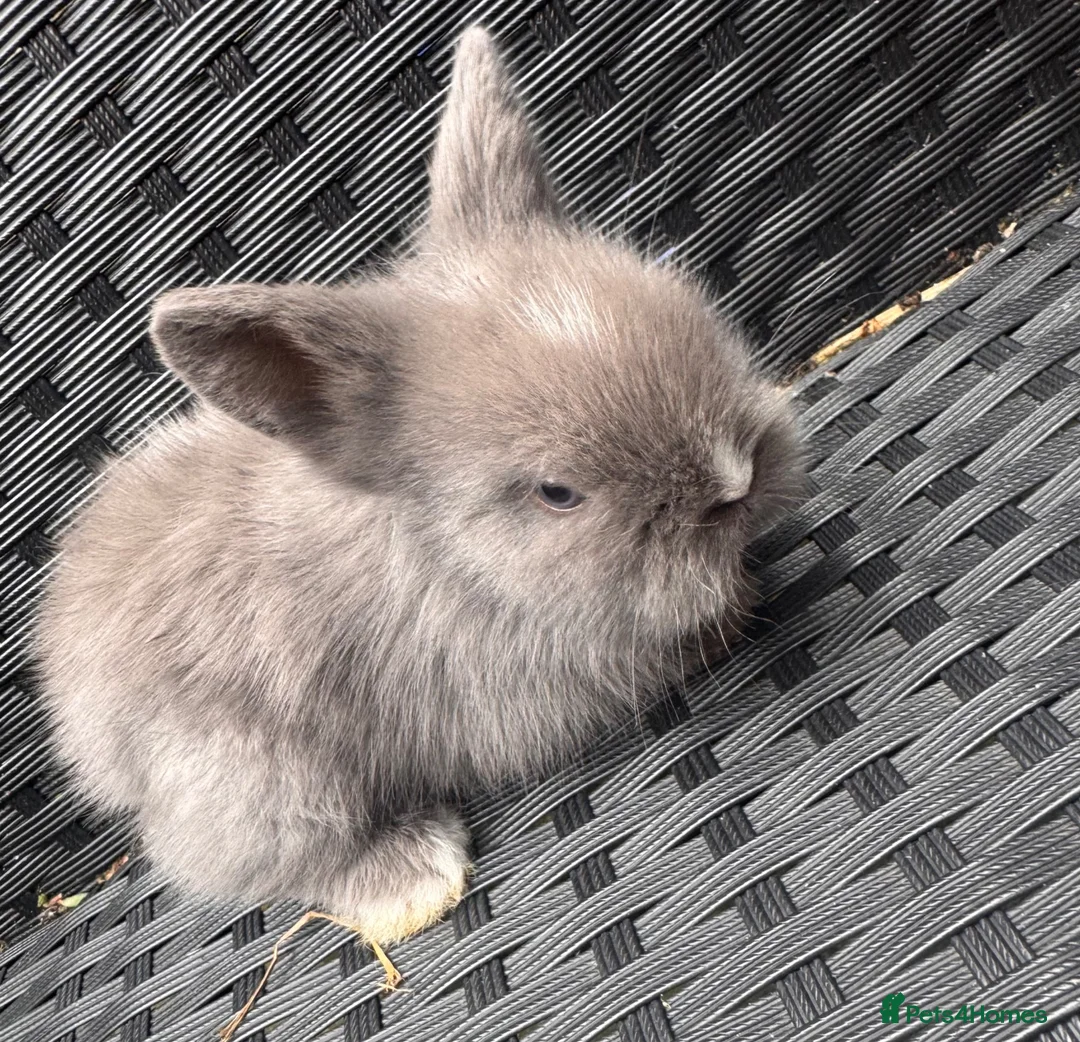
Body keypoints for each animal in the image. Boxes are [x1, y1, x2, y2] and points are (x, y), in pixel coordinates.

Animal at [32, 25, 804, 945]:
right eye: (557, 493)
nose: (735, 479)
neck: (451, 559)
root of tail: (83, 729)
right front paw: (734, 609)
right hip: (260, 779)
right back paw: (414, 880)